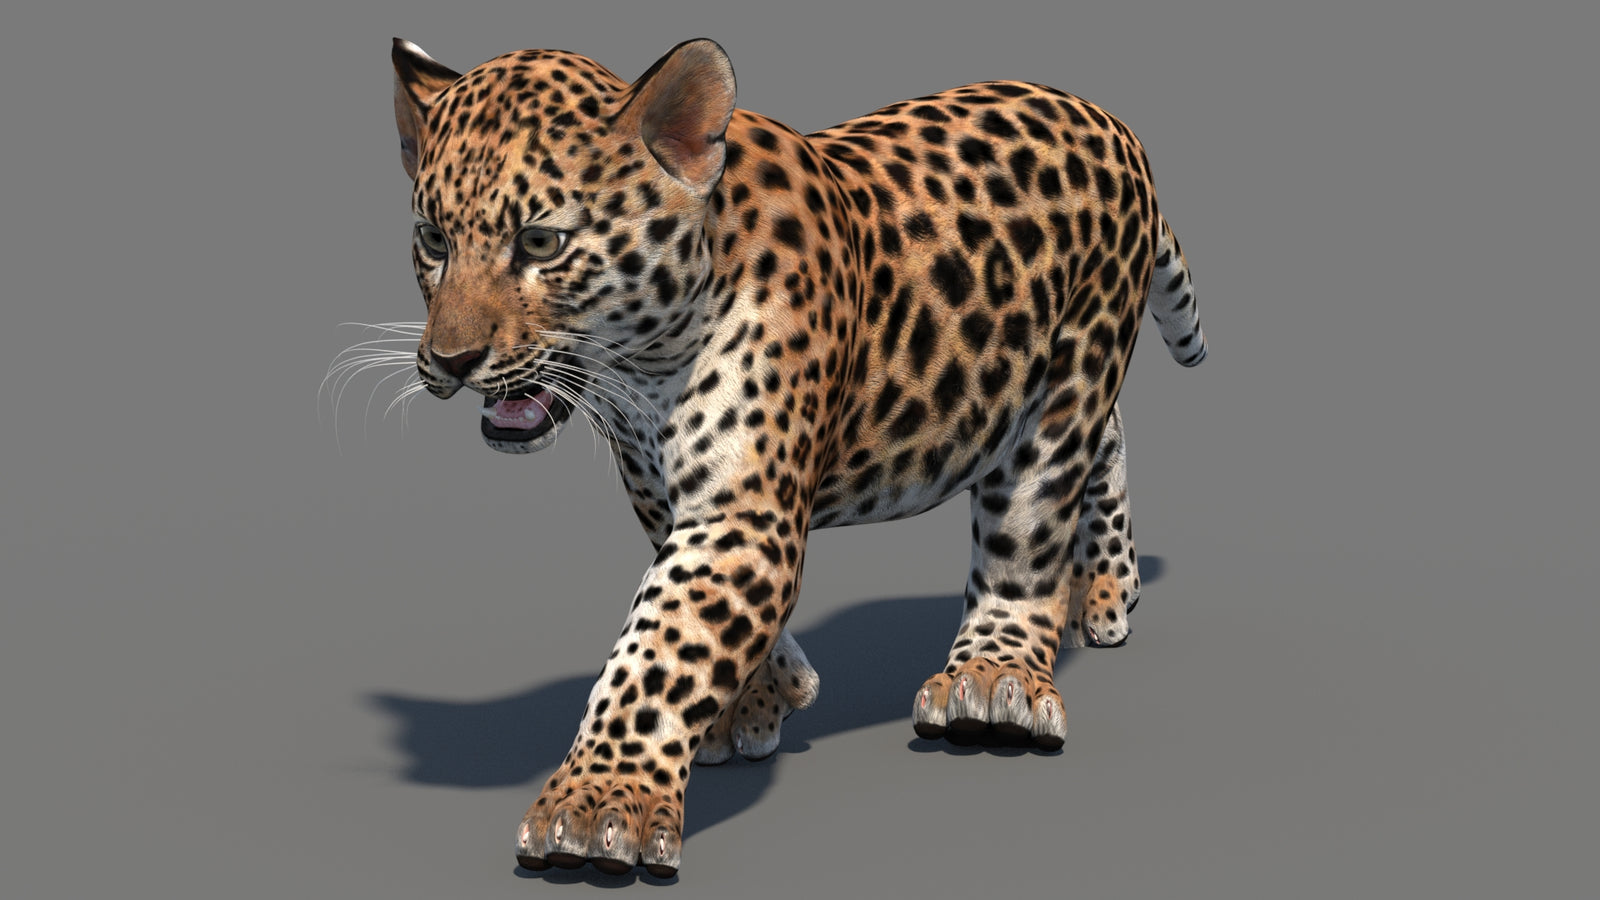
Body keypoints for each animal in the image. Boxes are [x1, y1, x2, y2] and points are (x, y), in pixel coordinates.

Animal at [384, 36, 1206, 877]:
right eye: (434, 241)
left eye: (542, 242)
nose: (449, 361)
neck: (643, 368)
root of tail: (1104, 117)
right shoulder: (666, 491)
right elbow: (698, 609)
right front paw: (761, 700)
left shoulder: (743, 511)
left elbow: (660, 644)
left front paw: (598, 802)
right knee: (1108, 439)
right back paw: (1101, 592)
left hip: (1072, 364)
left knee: (1035, 512)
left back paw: (997, 672)